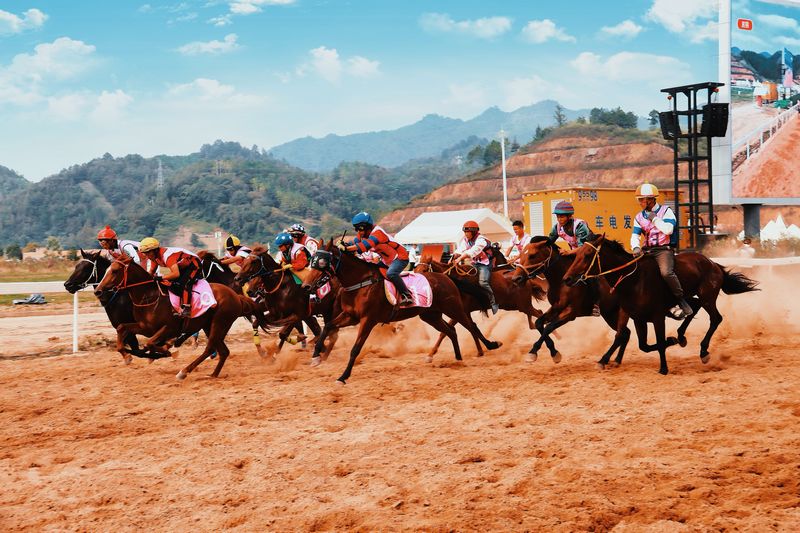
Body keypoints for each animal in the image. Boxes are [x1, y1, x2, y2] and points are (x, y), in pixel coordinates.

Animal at [94, 255, 262, 376]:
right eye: (107, 270)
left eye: (115, 271)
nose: (98, 291)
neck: (149, 296)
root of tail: (235, 295)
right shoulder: (144, 327)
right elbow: (122, 328)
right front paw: (127, 355)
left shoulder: (170, 327)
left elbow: (150, 343)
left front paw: (167, 351)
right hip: (209, 325)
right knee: (223, 351)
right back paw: (213, 374)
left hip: (219, 322)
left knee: (209, 349)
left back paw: (184, 371)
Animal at [302, 239, 494, 384]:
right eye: (312, 260)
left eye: (321, 262)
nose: (305, 286)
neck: (360, 283)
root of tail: (446, 277)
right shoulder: (350, 316)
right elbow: (327, 326)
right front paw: (316, 356)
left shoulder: (368, 320)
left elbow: (355, 348)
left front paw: (343, 376)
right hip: (430, 315)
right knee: (451, 330)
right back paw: (458, 358)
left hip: (453, 308)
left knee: (470, 325)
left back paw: (489, 346)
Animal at [512, 238, 632, 368]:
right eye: (521, 255)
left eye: (532, 255)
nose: (516, 278)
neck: (561, 281)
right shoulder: (556, 308)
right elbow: (539, 323)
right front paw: (553, 353)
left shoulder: (570, 313)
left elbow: (549, 327)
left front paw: (534, 353)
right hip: (610, 314)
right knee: (626, 333)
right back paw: (617, 360)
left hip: (619, 312)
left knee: (621, 334)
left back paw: (604, 360)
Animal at [560, 235, 760, 376]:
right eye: (576, 254)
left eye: (587, 255)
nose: (567, 278)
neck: (633, 279)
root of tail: (713, 263)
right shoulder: (634, 316)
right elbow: (633, 341)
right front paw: (603, 360)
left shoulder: (657, 317)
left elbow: (658, 342)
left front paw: (664, 368)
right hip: (692, 297)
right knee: (692, 309)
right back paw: (680, 336)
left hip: (708, 297)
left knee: (716, 318)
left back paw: (703, 351)